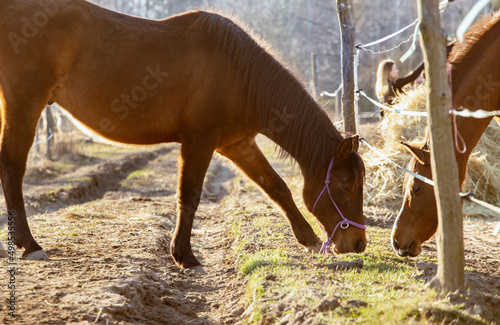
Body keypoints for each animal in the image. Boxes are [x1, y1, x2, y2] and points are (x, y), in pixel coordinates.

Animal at [0, 0, 368, 268]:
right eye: (346, 184)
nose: (358, 243)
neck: (241, 74)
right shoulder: (199, 140)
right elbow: (189, 195)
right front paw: (184, 256)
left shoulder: (237, 145)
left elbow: (277, 188)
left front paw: (308, 239)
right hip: (24, 105)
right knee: (12, 169)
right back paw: (30, 245)